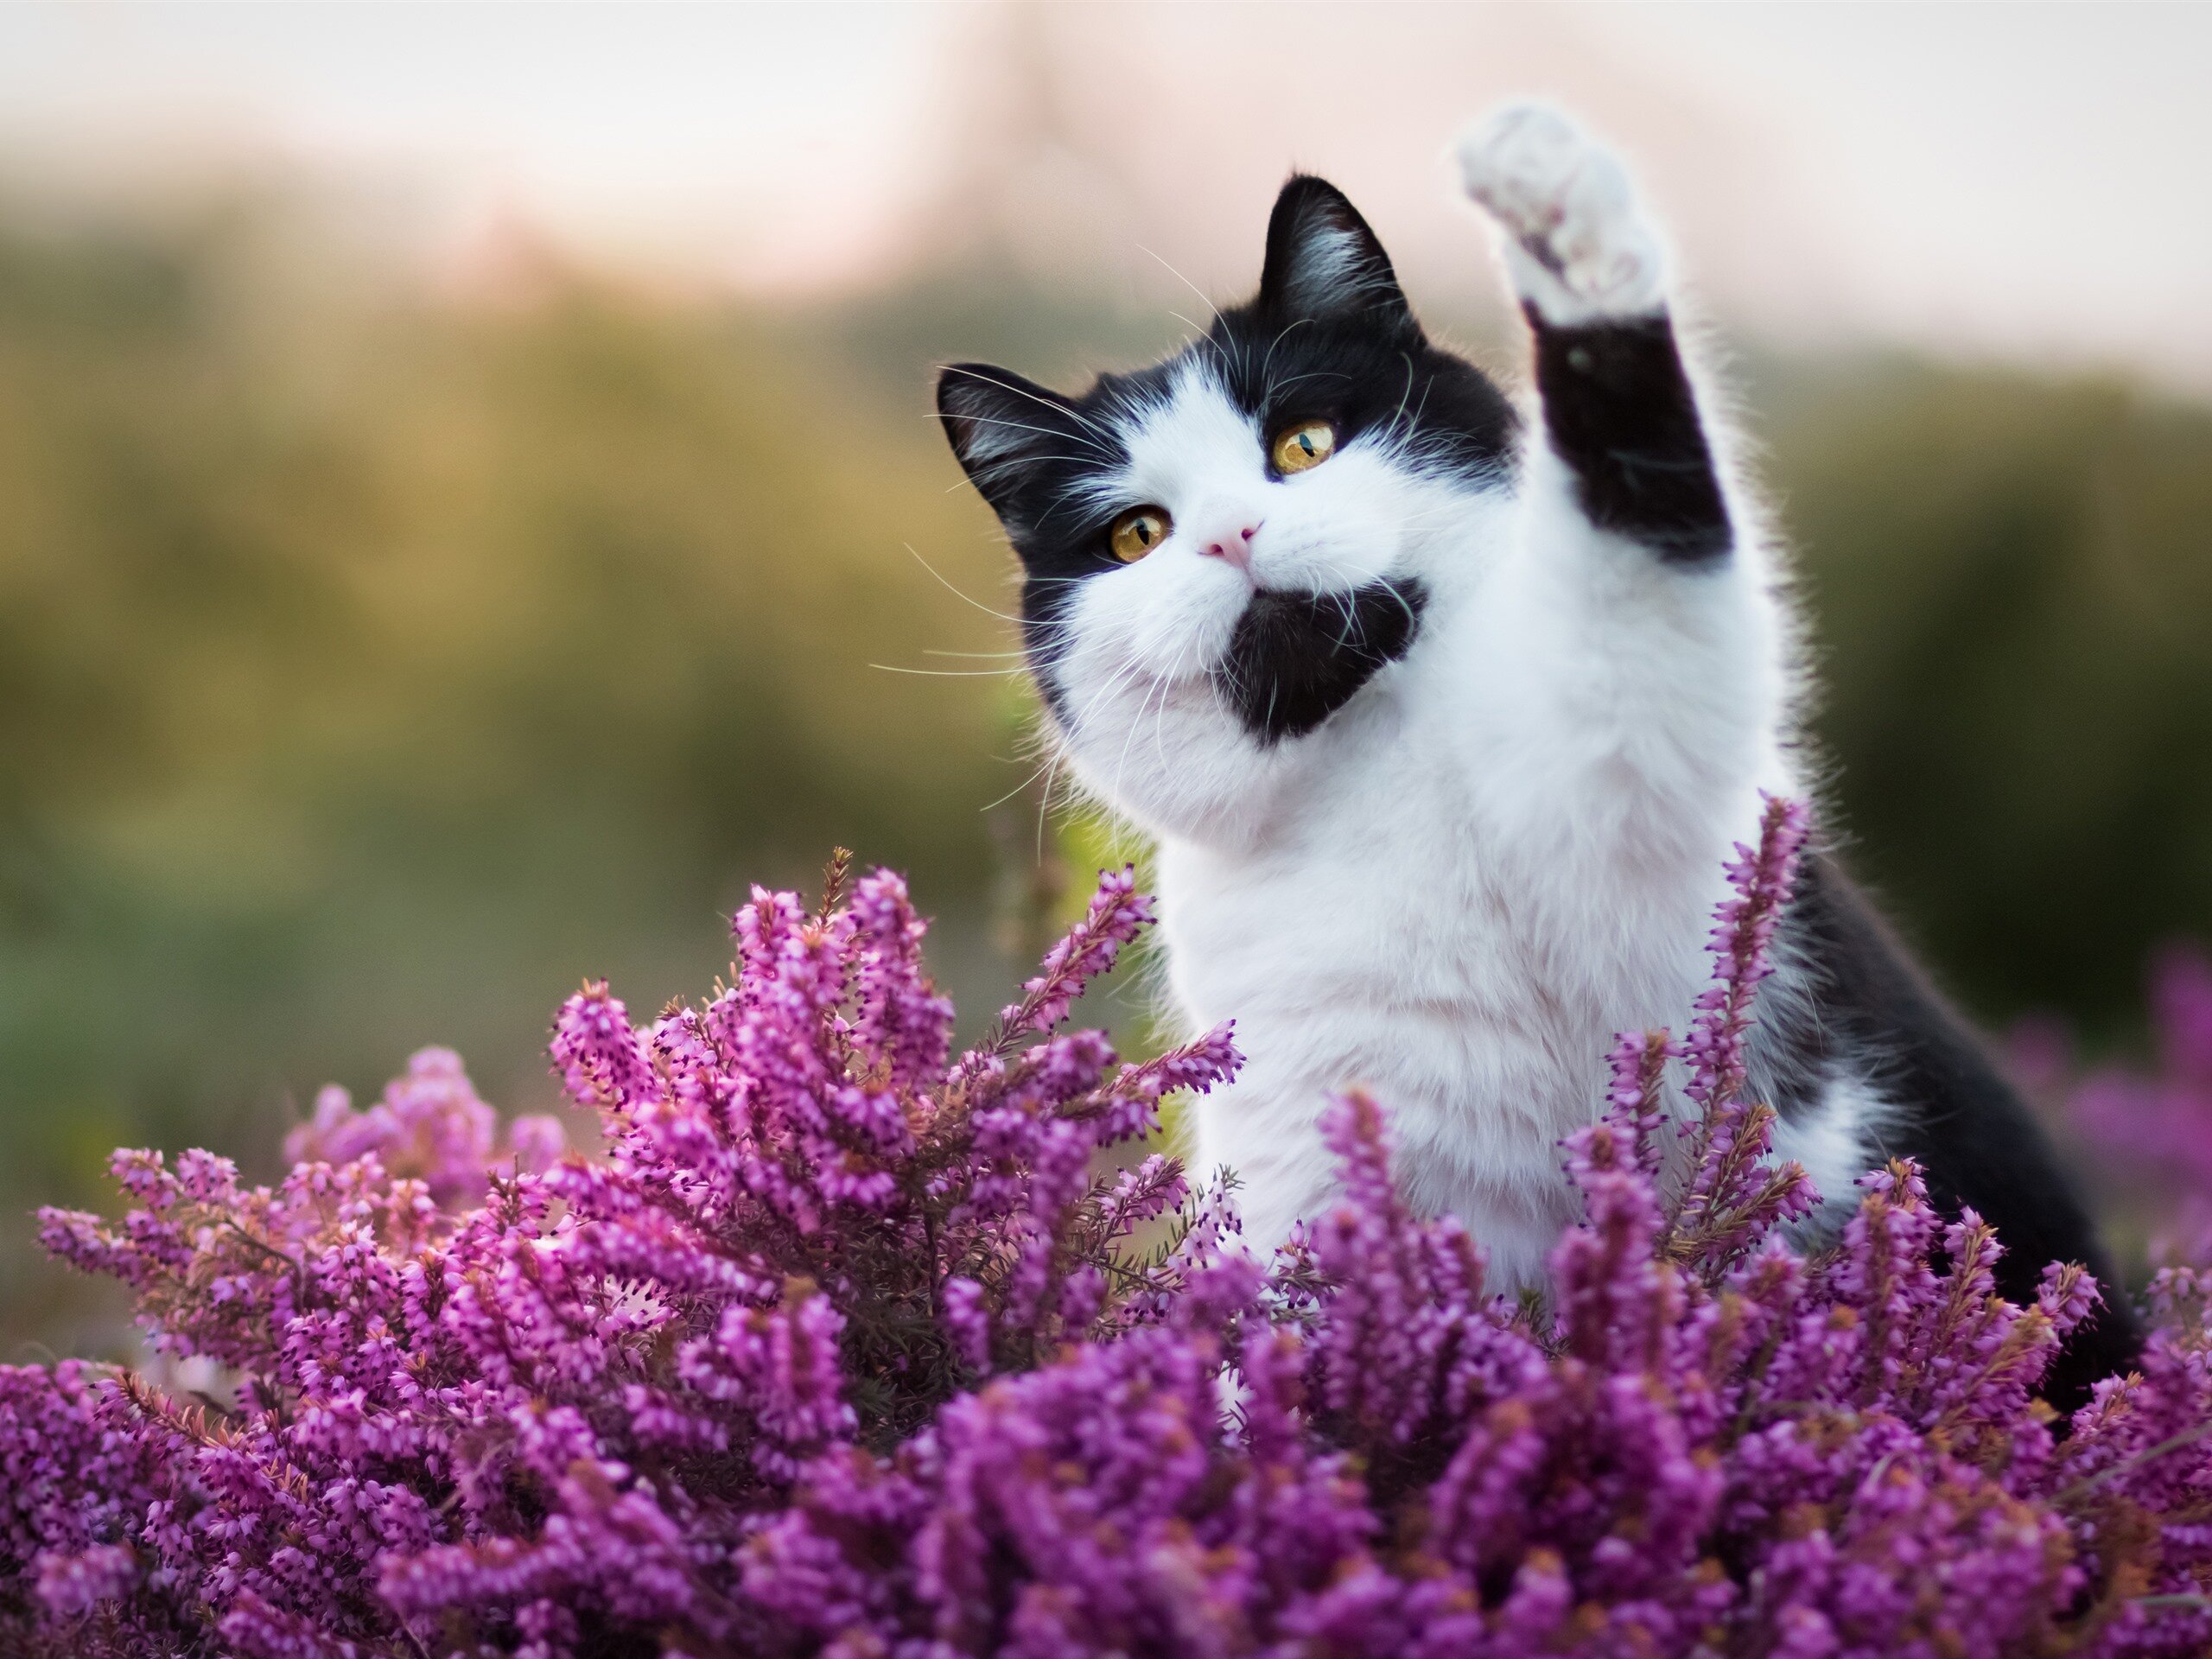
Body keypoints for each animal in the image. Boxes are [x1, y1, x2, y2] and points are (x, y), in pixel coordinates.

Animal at [938, 107, 2141, 1407]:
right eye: (1137, 536)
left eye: (1303, 444)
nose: (1228, 534)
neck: (1382, 755)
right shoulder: (1305, 1150)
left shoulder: (1641, 706)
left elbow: (1639, 484)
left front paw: (1558, 214)